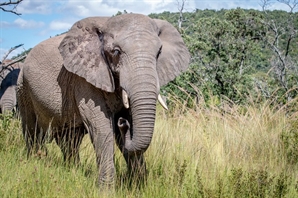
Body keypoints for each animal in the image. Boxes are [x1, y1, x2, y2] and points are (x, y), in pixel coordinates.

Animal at [16, 13, 189, 187]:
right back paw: (33, 162)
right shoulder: (85, 78)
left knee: (69, 140)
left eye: (159, 52)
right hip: (23, 87)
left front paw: (138, 186)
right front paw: (106, 189)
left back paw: (72, 170)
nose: (122, 123)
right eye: (116, 51)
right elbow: (100, 126)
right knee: (32, 131)